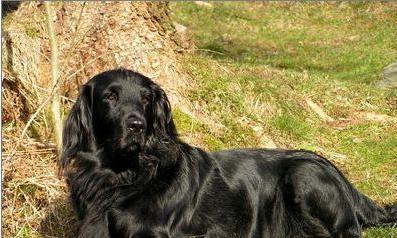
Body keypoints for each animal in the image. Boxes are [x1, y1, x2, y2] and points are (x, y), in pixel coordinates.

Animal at [60, 68, 394, 237]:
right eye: (110, 96)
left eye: (145, 99)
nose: (137, 126)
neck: (125, 177)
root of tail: (348, 184)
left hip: (303, 173)